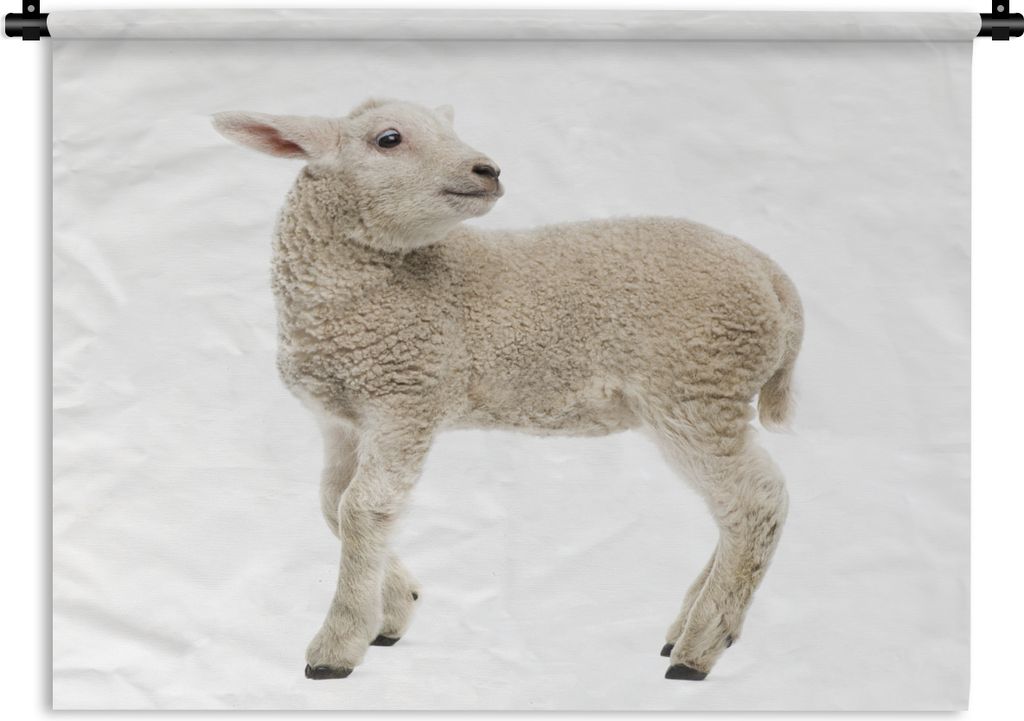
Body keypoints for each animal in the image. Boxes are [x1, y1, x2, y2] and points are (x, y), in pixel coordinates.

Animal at [212, 98, 804, 682]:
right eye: (388, 139)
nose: (488, 170)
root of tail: (770, 273)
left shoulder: (407, 398)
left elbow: (363, 508)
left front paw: (336, 646)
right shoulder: (342, 418)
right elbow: (333, 503)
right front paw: (396, 605)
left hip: (697, 386)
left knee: (756, 500)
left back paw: (698, 649)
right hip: (700, 393)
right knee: (739, 507)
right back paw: (690, 629)